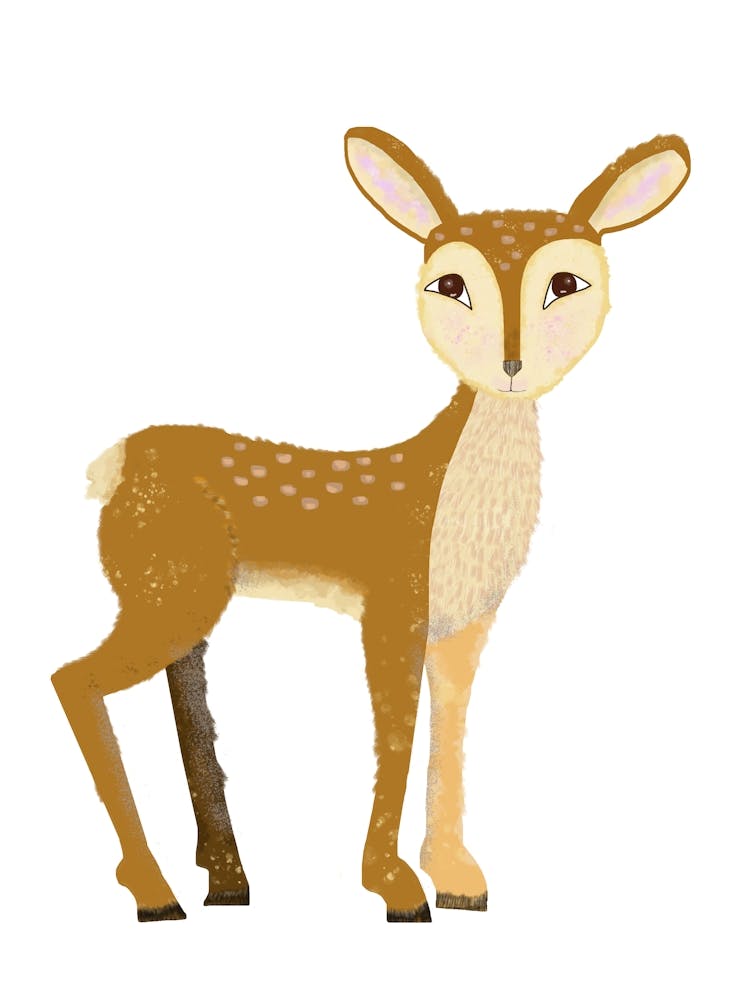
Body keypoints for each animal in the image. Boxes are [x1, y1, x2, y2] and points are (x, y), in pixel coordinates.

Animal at [53, 127, 690, 923]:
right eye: (449, 285)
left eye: (567, 282)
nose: (511, 363)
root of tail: (112, 463)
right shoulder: (392, 606)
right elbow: (396, 736)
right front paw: (394, 888)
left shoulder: (462, 629)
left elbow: (448, 732)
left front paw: (457, 878)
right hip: (171, 593)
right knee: (72, 679)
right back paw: (154, 891)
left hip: (179, 594)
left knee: (183, 694)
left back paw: (224, 880)